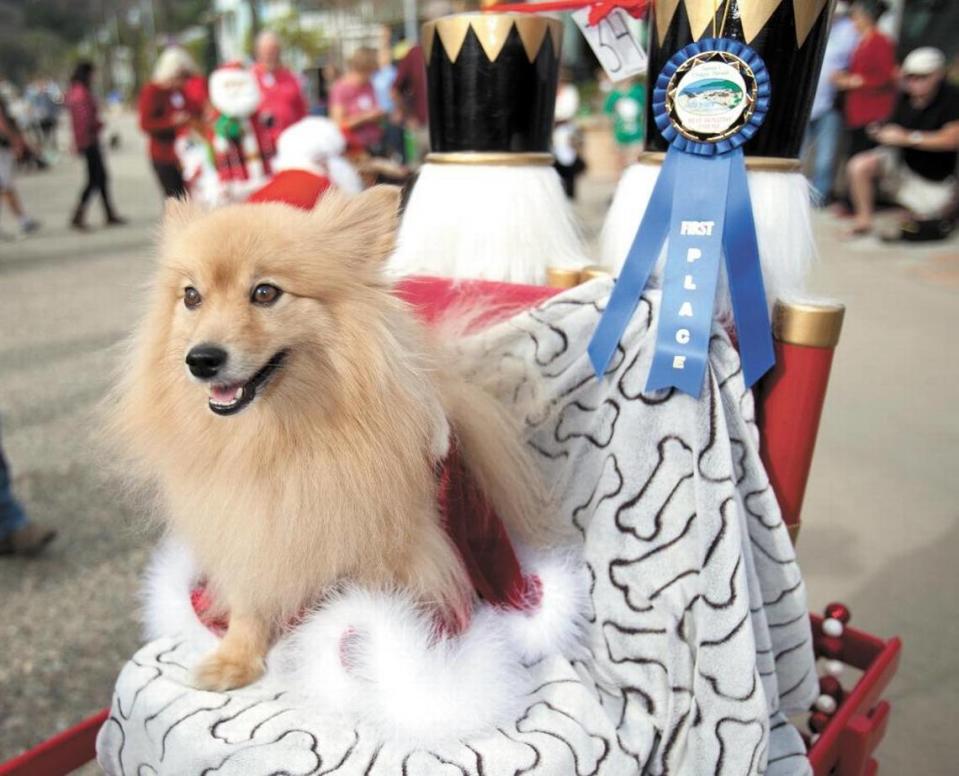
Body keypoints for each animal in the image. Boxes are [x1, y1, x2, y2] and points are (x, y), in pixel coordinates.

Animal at [107, 186, 548, 692]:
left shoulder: (391, 550)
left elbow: (376, 615)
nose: (200, 359)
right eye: (191, 297)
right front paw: (235, 659)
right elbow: (249, 599)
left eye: (265, 293)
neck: (278, 438)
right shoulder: (249, 527)